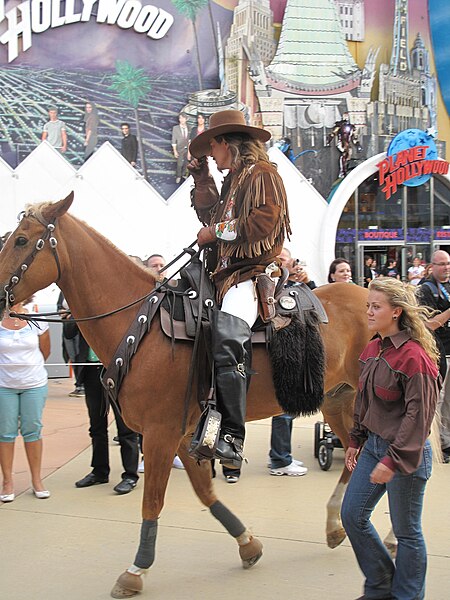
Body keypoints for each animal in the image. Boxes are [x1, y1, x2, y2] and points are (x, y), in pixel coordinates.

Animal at [0, 195, 372, 596]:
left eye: (21, 240)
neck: (140, 325)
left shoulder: (160, 433)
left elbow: (152, 500)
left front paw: (136, 570)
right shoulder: (183, 434)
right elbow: (205, 492)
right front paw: (248, 544)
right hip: (337, 400)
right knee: (354, 456)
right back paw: (337, 525)